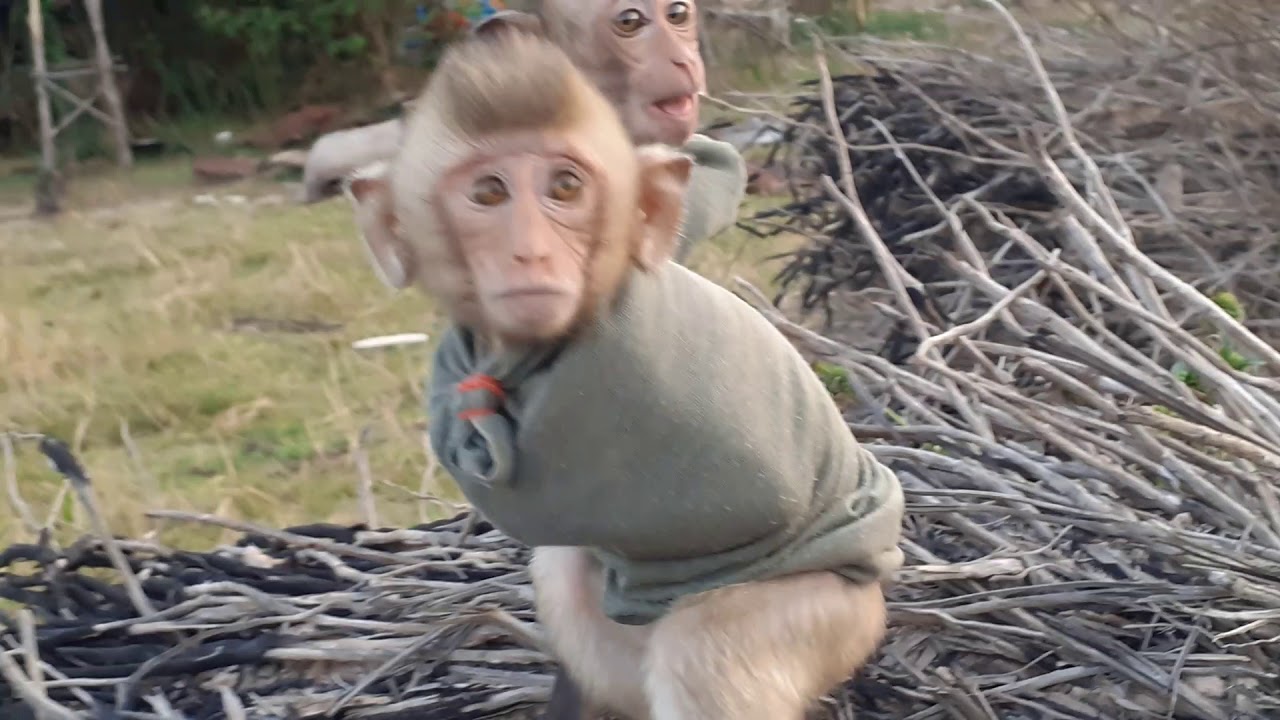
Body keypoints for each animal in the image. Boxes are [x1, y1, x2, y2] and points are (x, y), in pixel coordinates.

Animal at [343, 34, 904, 720]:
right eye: (488, 194)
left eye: (564, 186)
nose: (530, 252)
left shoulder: (599, 386)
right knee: (568, 582)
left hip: (824, 610)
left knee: (702, 654)